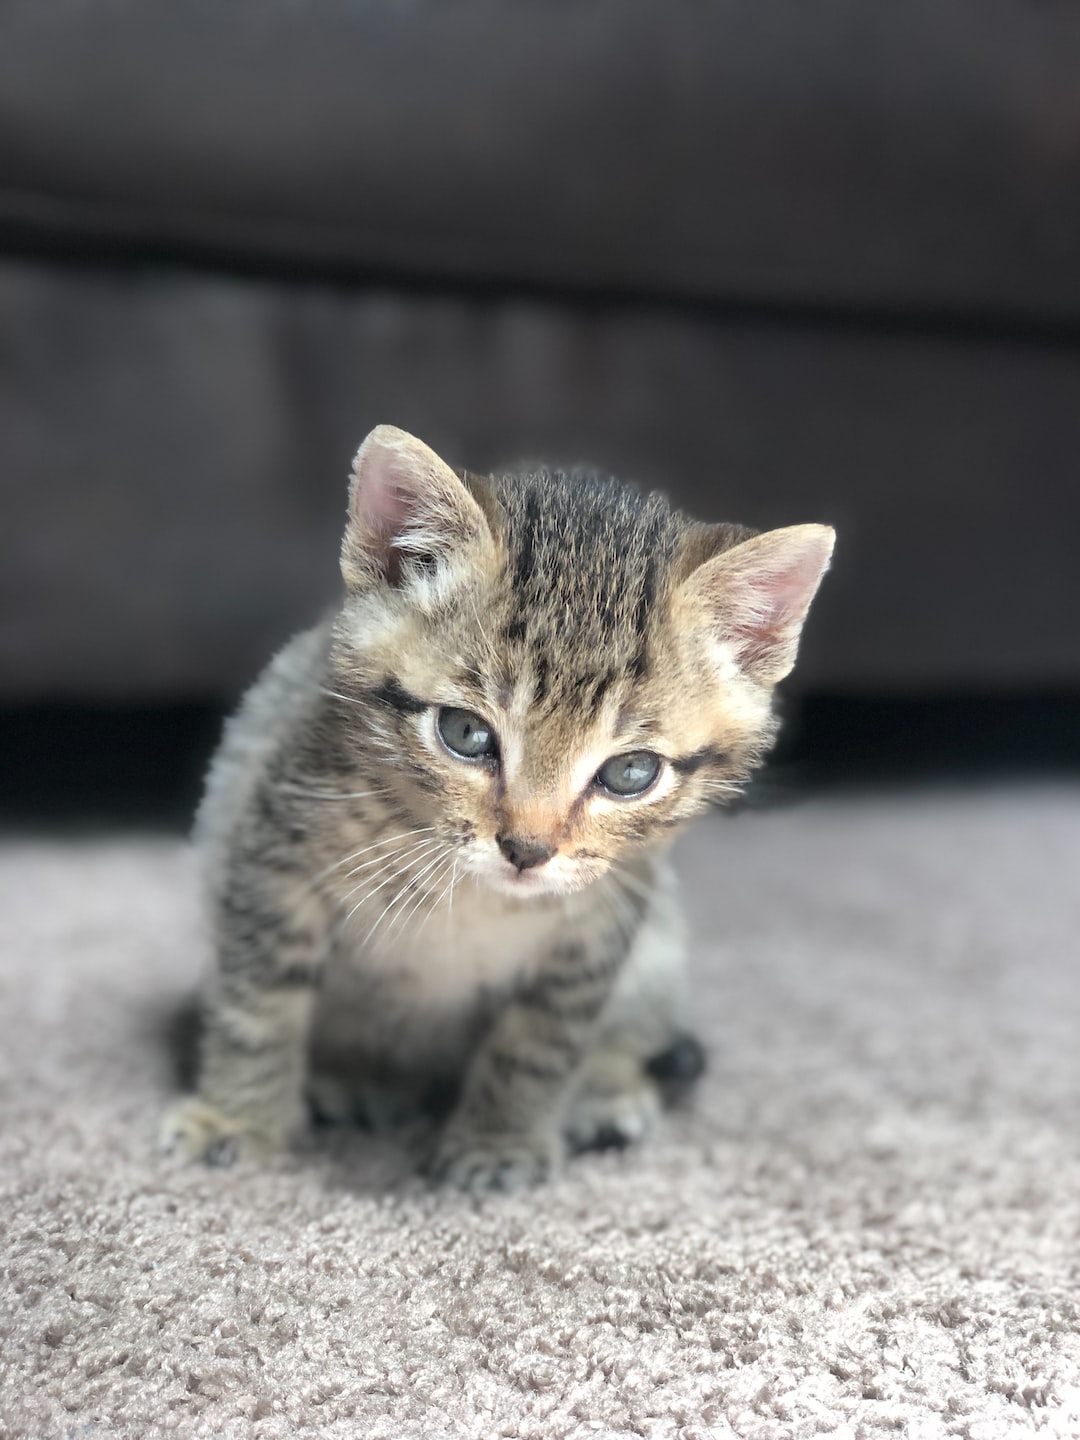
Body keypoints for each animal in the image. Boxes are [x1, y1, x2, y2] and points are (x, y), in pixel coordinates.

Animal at [162, 424, 834, 1191]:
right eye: (465, 733)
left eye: (630, 773)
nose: (526, 849)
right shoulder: (271, 848)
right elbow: (258, 1005)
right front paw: (238, 1117)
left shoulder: (601, 924)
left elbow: (539, 1041)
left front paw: (499, 1139)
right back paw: (355, 1079)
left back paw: (605, 1090)